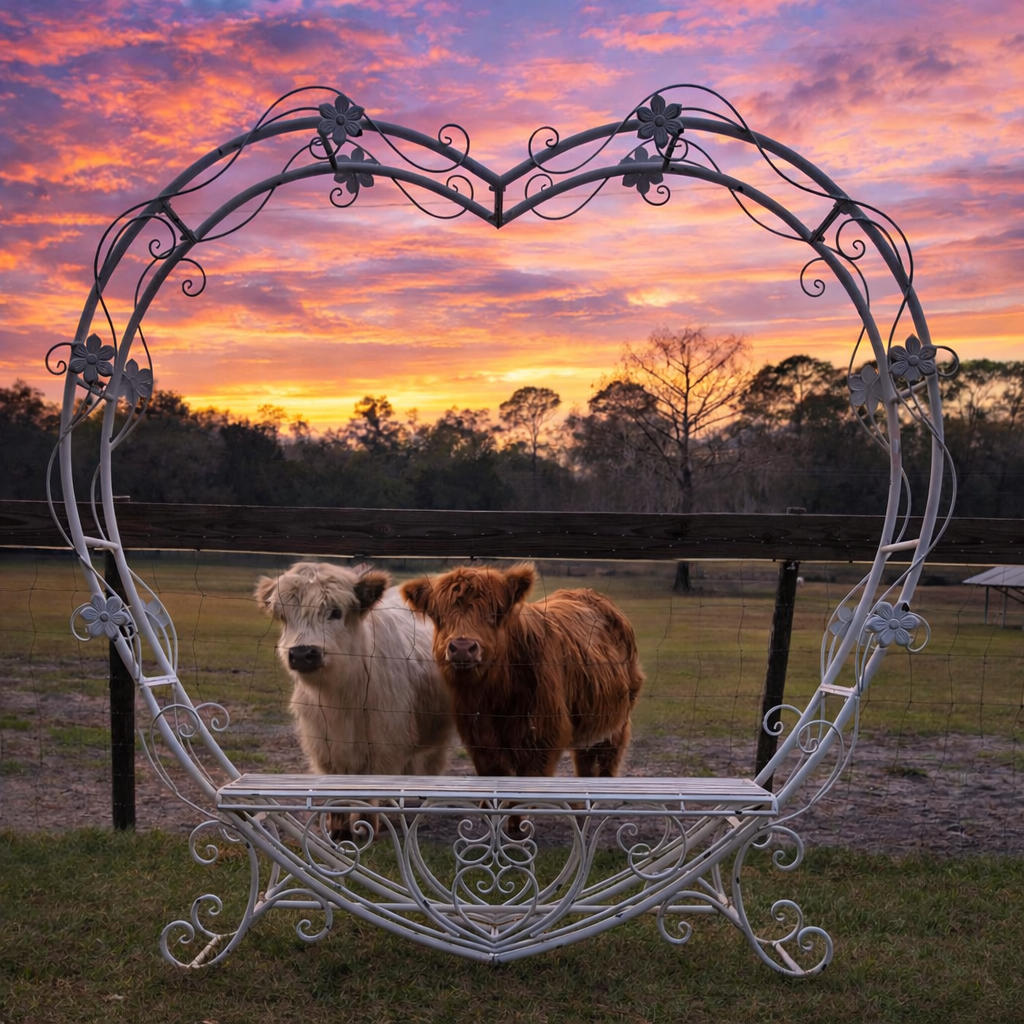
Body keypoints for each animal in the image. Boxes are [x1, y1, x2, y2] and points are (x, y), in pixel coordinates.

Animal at [255, 561, 455, 840]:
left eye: (336, 612)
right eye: (284, 616)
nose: (303, 653)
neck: (339, 698)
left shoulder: (383, 742)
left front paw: (364, 827)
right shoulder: (324, 746)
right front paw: (338, 830)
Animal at [400, 563, 645, 800]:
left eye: (495, 613)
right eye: (439, 616)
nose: (462, 647)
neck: (496, 696)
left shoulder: (540, 742)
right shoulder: (481, 744)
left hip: (615, 725)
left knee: (605, 765)